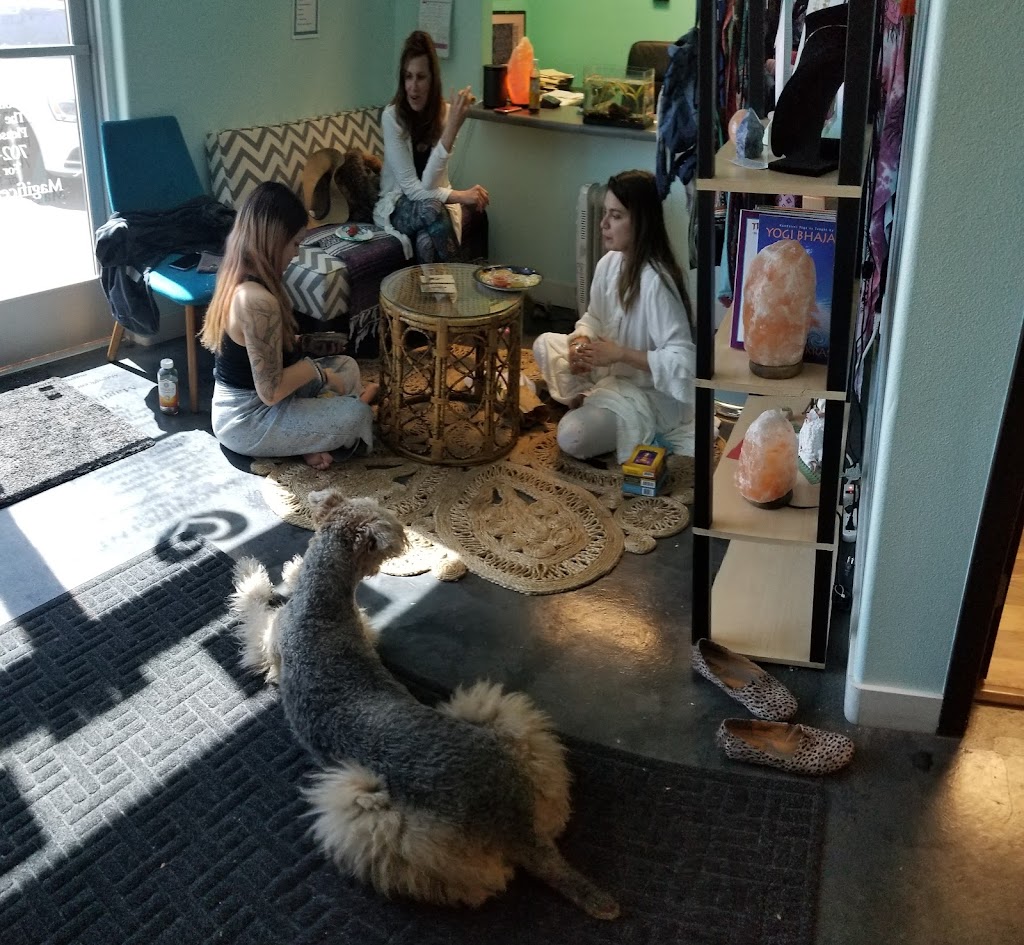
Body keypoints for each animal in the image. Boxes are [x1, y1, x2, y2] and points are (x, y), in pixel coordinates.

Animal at [229, 491, 620, 919]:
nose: (405, 535)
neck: (321, 605)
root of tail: (518, 826)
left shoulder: (266, 649)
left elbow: (253, 603)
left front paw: (252, 571)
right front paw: (294, 567)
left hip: (365, 810)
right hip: (500, 718)